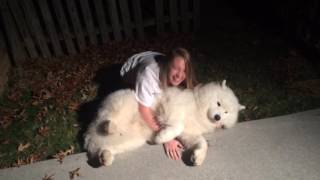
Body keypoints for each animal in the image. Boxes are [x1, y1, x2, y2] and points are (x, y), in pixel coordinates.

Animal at [84, 80, 244, 166]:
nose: (218, 117)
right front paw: (161, 137)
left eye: (226, 112)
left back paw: (105, 157)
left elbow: (201, 142)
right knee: (108, 117)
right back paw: (109, 126)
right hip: (124, 104)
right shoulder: (172, 106)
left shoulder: (190, 133)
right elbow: (177, 126)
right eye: (218, 103)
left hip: (131, 142)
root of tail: (91, 136)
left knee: (105, 148)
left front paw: (197, 158)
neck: (198, 109)